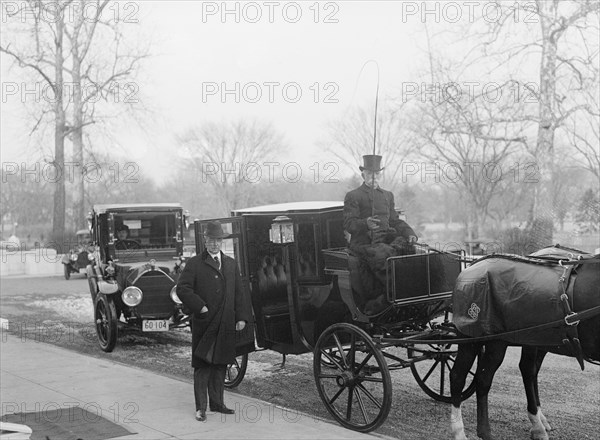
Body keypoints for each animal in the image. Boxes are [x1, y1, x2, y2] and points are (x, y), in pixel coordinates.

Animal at [450, 244, 600, 440]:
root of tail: (472, 267)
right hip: (475, 339)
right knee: (461, 377)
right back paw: (461, 431)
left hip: (515, 340)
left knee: (495, 377)